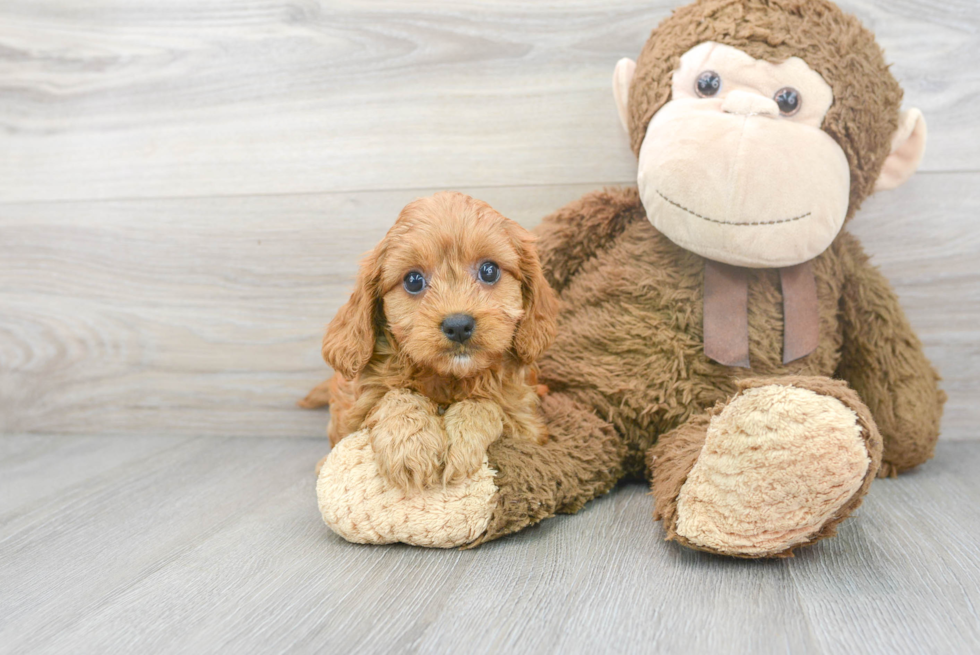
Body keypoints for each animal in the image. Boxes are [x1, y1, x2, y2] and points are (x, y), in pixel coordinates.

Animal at [298, 193, 560, 492]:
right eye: (413, 280)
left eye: (489, 271)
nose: (458, 326)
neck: (448, 378)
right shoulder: (356, 413)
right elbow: (396, 395)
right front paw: (409, 445)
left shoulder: (528, 426)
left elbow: (487, 404)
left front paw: (461, 440)